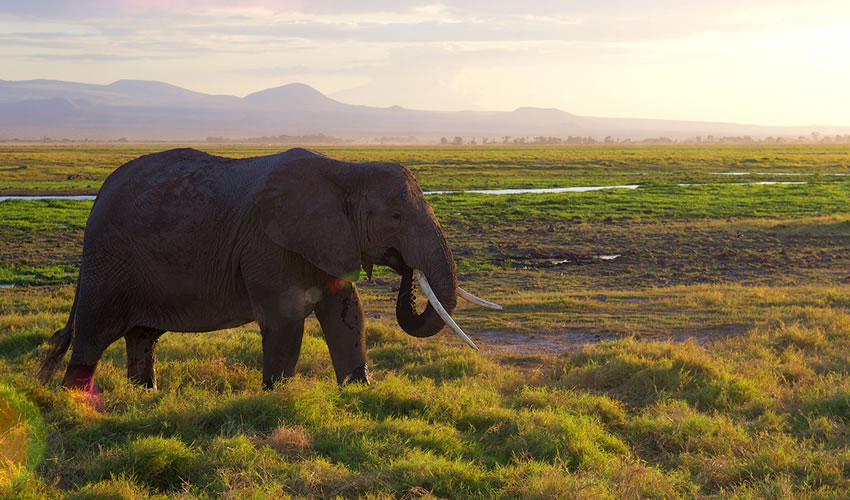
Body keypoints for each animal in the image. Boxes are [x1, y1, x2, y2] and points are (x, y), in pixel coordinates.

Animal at [38, 147, 496, 390]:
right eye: (396, 217)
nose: (405, 269)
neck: (346, 170)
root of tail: (98, 195)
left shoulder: (324, 238)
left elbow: (348, 314)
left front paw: (359, 392)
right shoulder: (267, 241)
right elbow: (285, 321)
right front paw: (277, 397)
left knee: (142, 336)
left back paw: (146, 396)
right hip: (107, 260)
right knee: (93, 335)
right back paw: (74, 401)